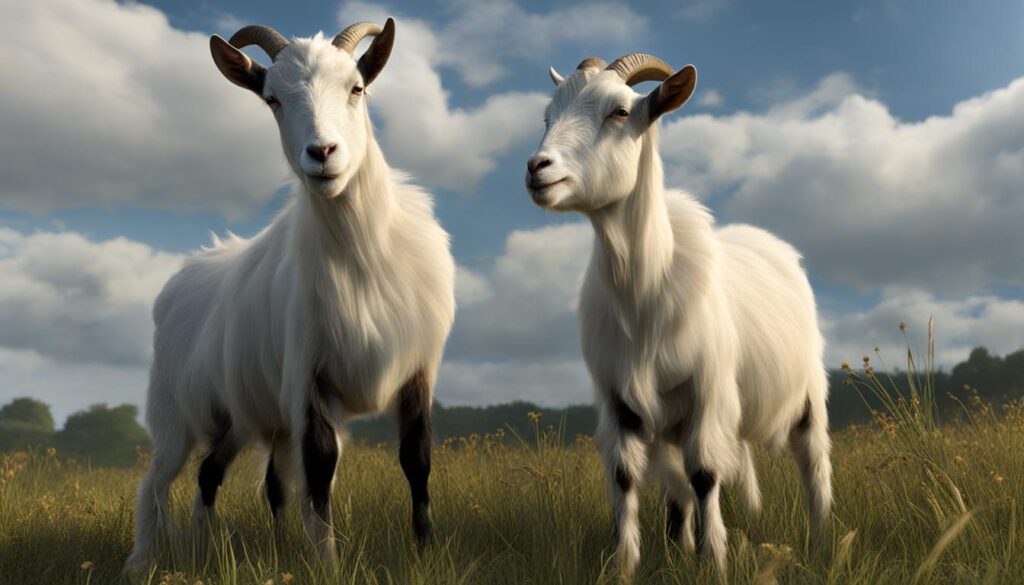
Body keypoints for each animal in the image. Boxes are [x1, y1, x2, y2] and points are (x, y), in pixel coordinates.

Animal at [126, 19, 455, 570]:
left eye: (357, 88)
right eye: (272, 99)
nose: (322, 154)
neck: (364, 254)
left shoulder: (417, 368)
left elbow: (416, 459)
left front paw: (425, 554)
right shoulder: (308, 376)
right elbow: (319, 469)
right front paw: (329, 566)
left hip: (244, 416)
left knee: (219, 475)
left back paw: (210, 546)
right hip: (175, 409)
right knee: (158, 480)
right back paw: (142, 560)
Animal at [527, 55, 833, 578]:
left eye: (621, 112)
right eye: (548, 117)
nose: (537, 169)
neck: (644, 290)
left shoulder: (708, 391)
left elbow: (705, 474)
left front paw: (716, 562)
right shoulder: (621, 400)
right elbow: (627, 477)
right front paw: (626, 566)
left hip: (807, 391)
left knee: (813, 463)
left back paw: (823, 542)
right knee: (682, 485)